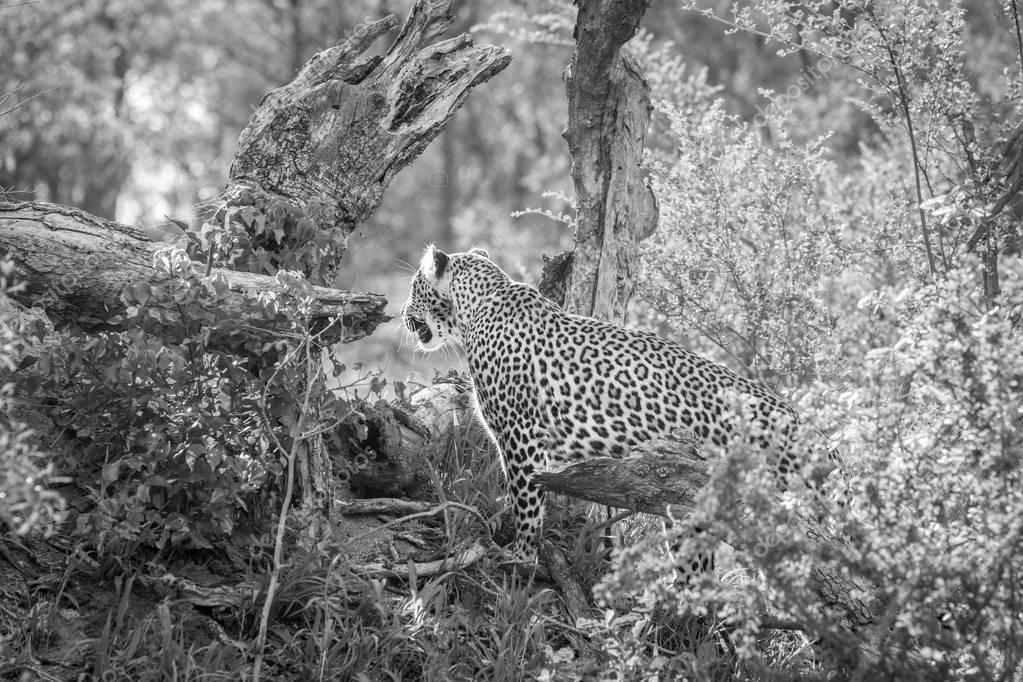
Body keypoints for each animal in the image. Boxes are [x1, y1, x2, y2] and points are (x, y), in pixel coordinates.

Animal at [401, 245, 821, 563]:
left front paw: (521, 554)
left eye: (414, 287)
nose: (403, 316)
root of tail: (810, 430)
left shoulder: (523, 436)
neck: (478, 305)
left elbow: (527, 502)